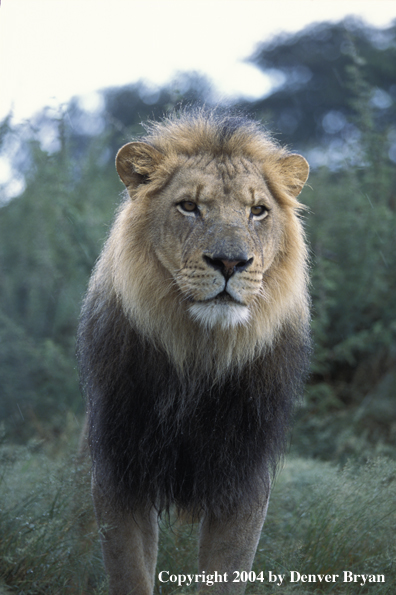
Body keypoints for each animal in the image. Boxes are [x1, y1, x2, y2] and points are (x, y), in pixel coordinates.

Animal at [77, 108, 310, 595]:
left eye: (257, 211)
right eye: (189, 206)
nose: (230, 262)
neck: (200, 353)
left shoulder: (245, 481)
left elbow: (225, 573)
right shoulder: (117, 471)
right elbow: (129, 572)